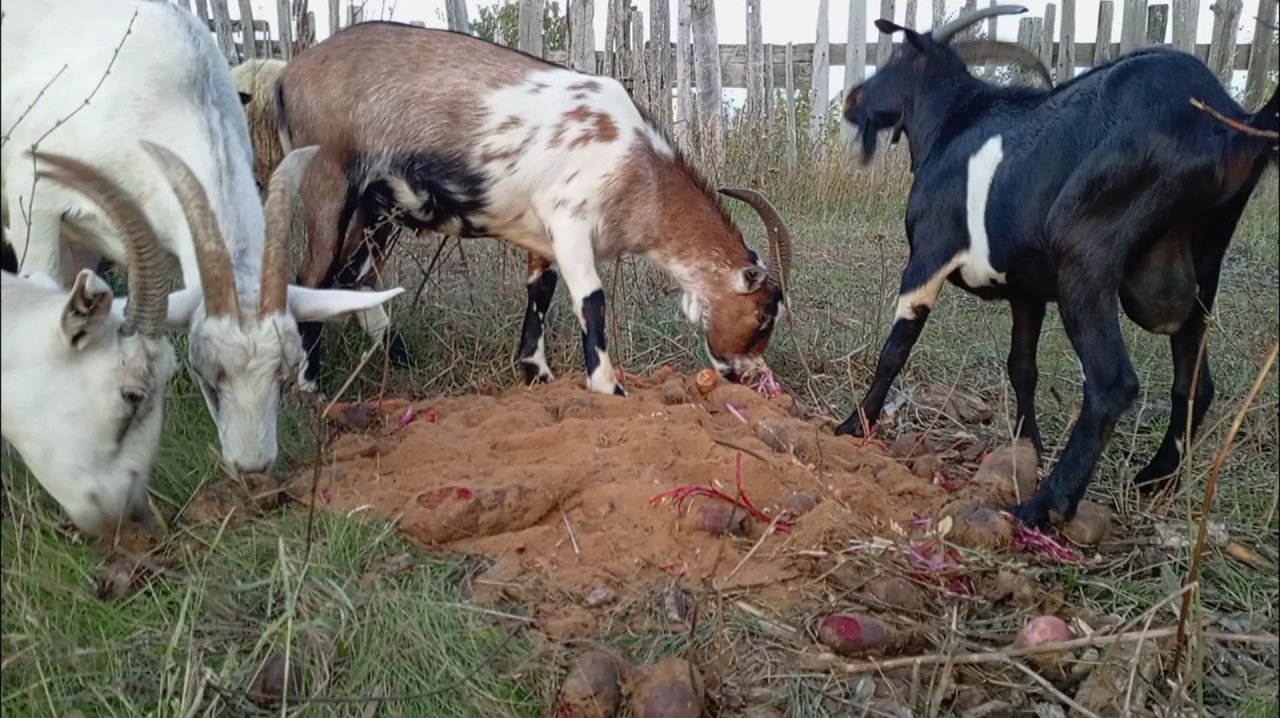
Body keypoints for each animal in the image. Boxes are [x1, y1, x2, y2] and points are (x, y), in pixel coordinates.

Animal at [273, 21, 794, 396]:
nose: (746, 374)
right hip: (329, 184)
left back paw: (394, 358)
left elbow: (540, 293)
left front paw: (535, 373)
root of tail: (287, 76)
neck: (636, 160)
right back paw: (310, 386)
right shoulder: (570, 220)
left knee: (351, 277)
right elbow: (592, 301)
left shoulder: (540, 236)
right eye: (764, 316)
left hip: (378, 209)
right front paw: (609, 387)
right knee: (313, 276)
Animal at [839, 4, 1279, 528]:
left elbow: (897, 346)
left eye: (896, 58)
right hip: (1205, 263)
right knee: (1194, 384)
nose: (852, 98)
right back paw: (1155, 479)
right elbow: (1022, 367)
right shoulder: (1027, 291)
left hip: (1085, 251)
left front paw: (853, 422)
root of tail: (1227, 121)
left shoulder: (929, 253)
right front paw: (1027, 445)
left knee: (1113, 382)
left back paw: (1046, 506)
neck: (951, 123)